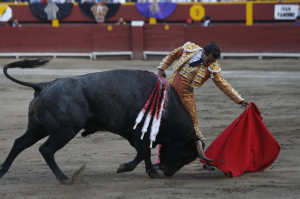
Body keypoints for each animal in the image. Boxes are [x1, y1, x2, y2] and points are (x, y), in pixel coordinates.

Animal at [0, 59, 211, 183]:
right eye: (186, 155)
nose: (168, 172)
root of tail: (43, 86)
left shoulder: (139, 134)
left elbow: (145, 153)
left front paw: (152, 172)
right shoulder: (136, 133)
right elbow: (143, 152)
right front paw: (124, 168)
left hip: (38, 128)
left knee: (19, 143)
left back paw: (2, 170)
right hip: (65, 131)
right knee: (46, 150)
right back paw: (64, 178)